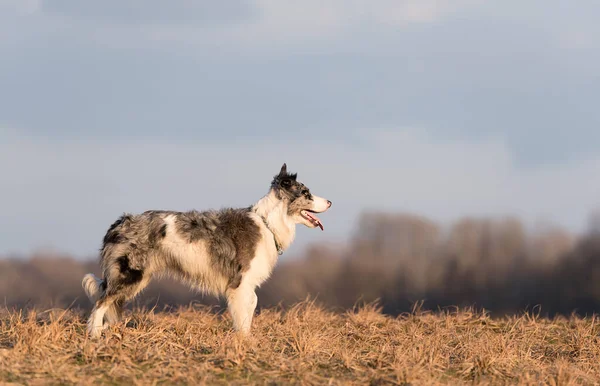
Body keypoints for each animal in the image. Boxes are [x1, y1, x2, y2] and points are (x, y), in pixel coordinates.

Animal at [82, 163, 330, 338]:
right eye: (306, 193)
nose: (330, 202)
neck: (267, 222)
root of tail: (119, 223)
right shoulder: (240, 284)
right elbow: (243, 314)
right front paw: (244, 342)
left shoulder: (247, 284)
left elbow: (250, 309)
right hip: (130, 274)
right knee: (100, 303)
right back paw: (94, 335)